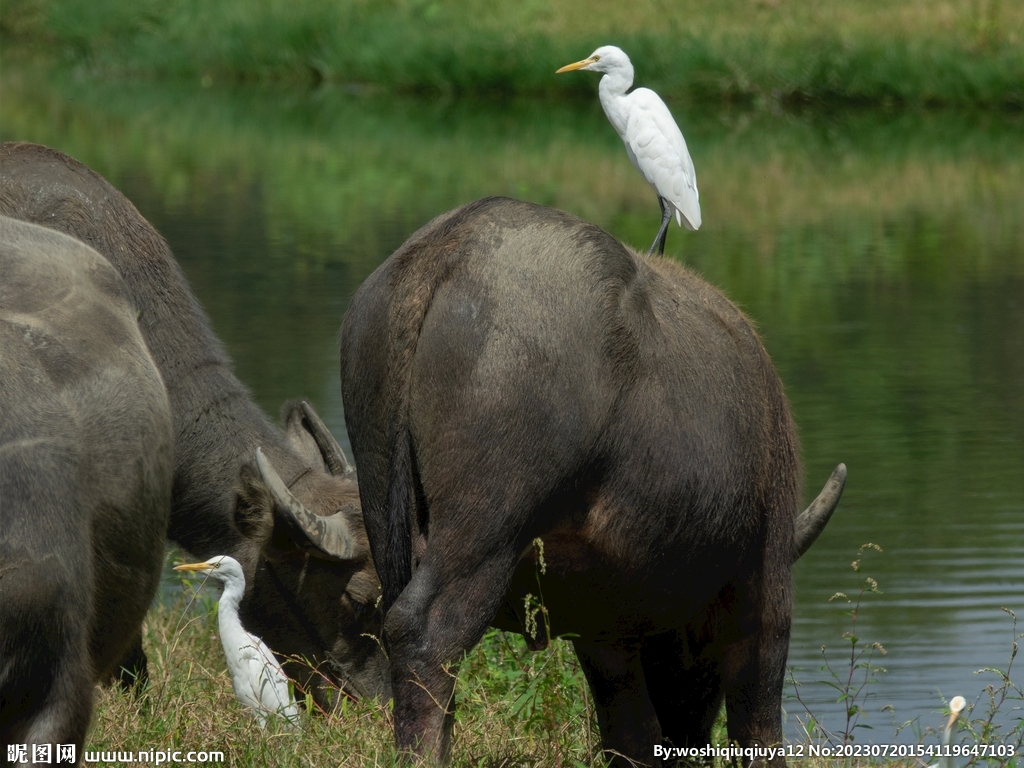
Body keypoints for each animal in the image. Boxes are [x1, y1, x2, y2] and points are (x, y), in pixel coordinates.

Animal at [339, 199, 843, 768]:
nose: (690, 739)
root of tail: (445, 251)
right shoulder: (763, 579)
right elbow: (756, 719)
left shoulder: (604, 632)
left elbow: (629, 734)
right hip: (486, 522)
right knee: (426, 633)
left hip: (386, 513)